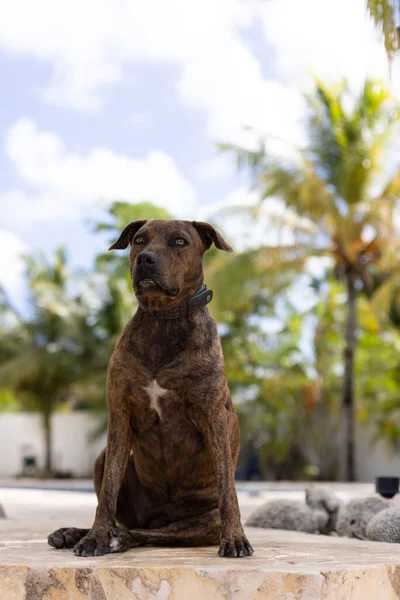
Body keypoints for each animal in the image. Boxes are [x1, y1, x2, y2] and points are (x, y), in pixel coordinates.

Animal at [47, 219, 253, 556]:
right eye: (139, 240)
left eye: (180, 242)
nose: (145, 258)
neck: (163, 322)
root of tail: (159, 517)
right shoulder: (120, 416)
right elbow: (107, 493)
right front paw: (95, 537)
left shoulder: (213, 419)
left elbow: (228, 490)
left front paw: (235, 537)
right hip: (102, 458)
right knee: (128, 520)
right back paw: (76, 534)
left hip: (202, 523)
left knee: (152, 534)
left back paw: (119, 539)